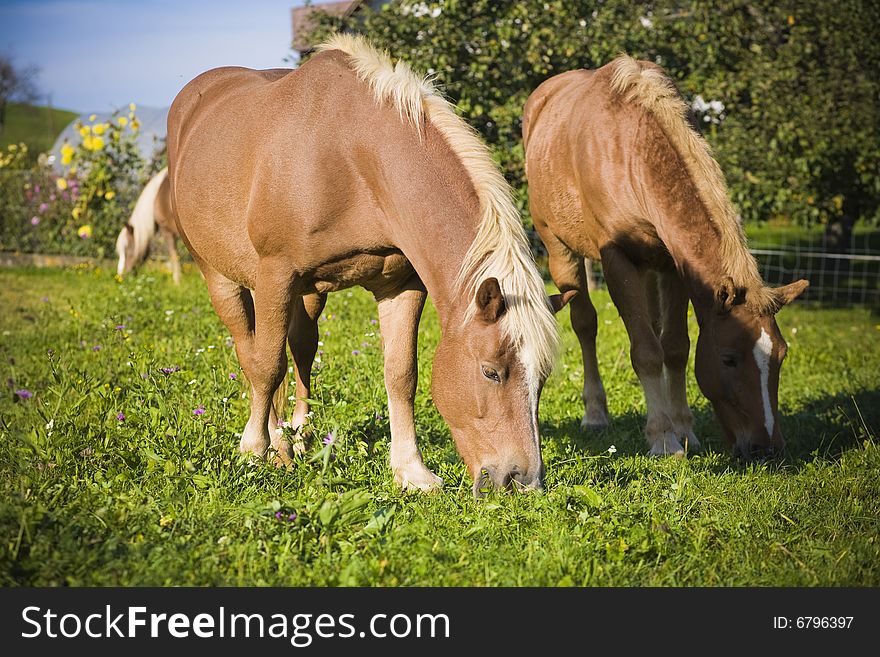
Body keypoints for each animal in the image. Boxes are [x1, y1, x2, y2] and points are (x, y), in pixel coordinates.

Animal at [168, 34, 576, 492]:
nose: (522, 480)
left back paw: (298, 439)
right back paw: (273, 442)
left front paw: (411, 470)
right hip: (223, 278)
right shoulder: (277, 273)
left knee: (301, 351)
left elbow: (401, 374)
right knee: (251, 352)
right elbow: (266, 367)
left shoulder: (399, 283)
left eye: (542, 378)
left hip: (308, 295)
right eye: (491, 372)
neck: (351, 157)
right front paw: (253, 452)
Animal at [524, 55, 808, 456]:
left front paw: (684, 430)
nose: (767, 447)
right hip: (559, 249)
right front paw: (662, 438)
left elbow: (673, 347)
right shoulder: (617, 260)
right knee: (585, 324)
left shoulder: (673, 266)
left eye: (781, 355)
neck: (633, 149)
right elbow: (646, 350)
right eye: (729, 359)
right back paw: (595, 414)